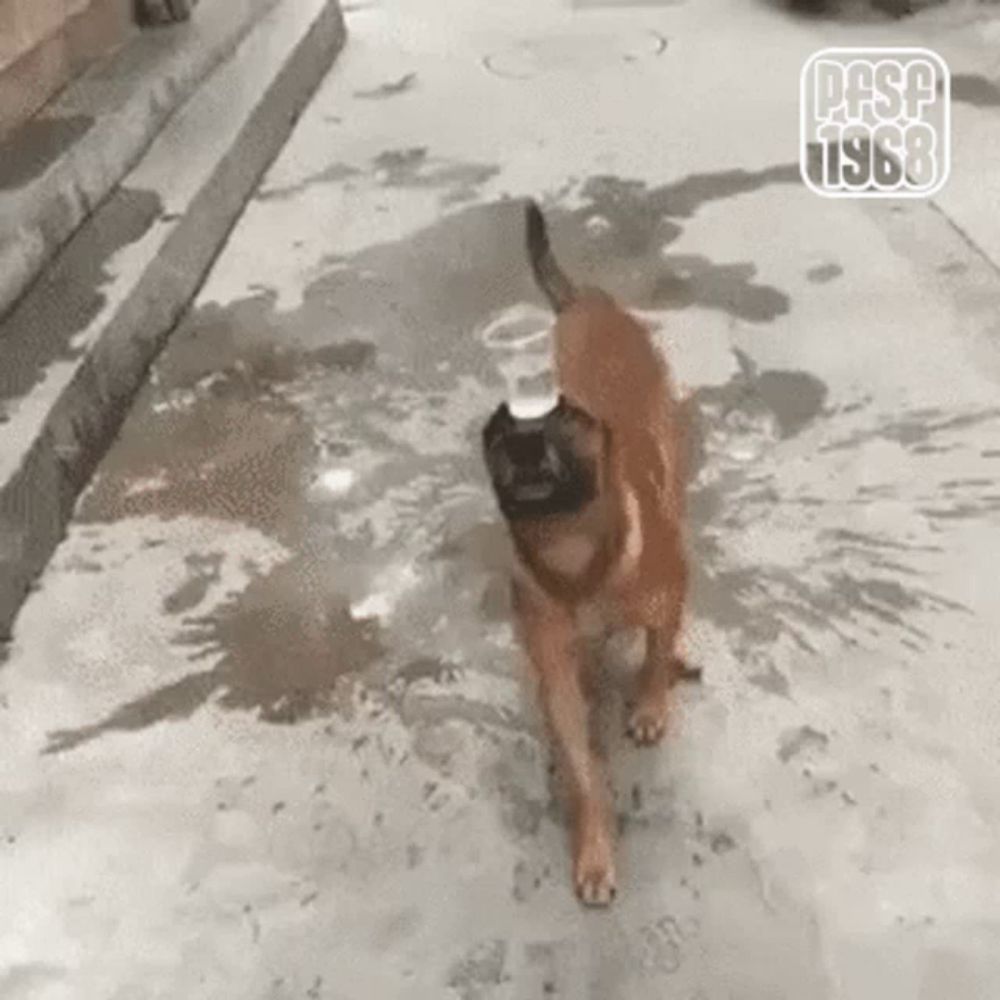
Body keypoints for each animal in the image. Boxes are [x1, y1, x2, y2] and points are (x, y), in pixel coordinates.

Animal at [482, 201, 696, 908]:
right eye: (495, 433)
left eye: (565, 422)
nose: (523, 441)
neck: (576, 557)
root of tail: (584, 302)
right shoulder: (555, 672)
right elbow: (583, 773)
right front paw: (596, 853)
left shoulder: (667, 595)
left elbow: (655, 656)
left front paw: (652, 703)